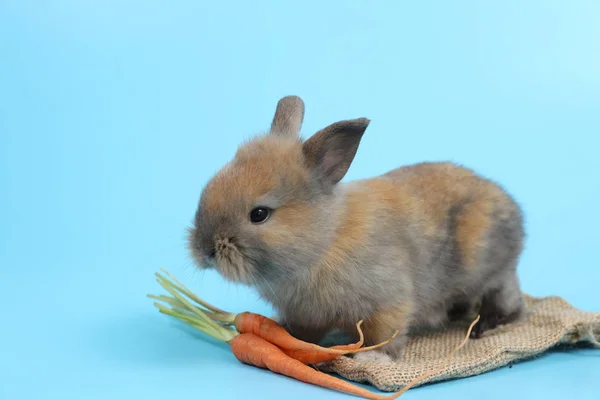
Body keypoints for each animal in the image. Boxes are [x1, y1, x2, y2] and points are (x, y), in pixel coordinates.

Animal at [188, 95, 524, 360]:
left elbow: (384, 335)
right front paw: (290, 340)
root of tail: (510, 205)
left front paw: (373, 360)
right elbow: (303, 335)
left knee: (508, 300)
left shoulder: (388, 303)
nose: (206, 250)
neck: (324, 242)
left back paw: (485, 325)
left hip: (493, 270)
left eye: (259, 214)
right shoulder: (306, 315)